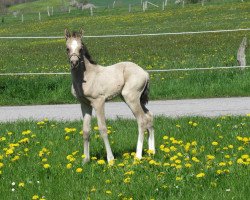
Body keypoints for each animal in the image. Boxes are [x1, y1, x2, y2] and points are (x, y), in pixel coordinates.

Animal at [64, 29, 154, 164]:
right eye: (67, 48)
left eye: (80, 48)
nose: (74, 63)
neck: (87, 77)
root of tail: (145, 73)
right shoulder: (84, 104)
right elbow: (86, 130)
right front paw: (85, 160)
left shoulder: (99, 102)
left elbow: (103, 129)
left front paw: (110, 160)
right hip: (135, 99)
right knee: (149, 116)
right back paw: (152, 152)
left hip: (131, 98)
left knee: (142, 120)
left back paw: (138, 156)